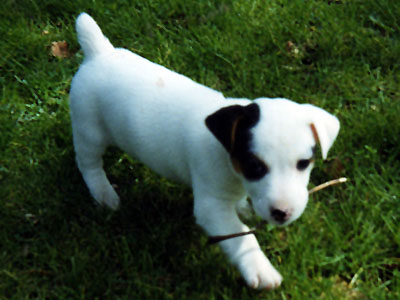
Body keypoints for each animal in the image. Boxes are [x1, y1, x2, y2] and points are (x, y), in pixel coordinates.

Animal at [70, 12, 340, 290]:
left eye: (304, 163)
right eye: (254, 166)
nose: (282, 213)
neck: (226, 156)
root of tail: (99, 53)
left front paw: (244, 207)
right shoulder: (211, 206)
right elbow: (241, 236)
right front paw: (260, 269)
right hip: (88, 129)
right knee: (88, 164)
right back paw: (104, 194)